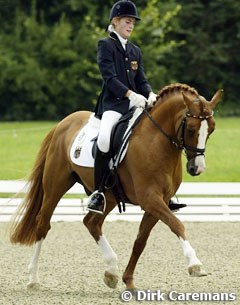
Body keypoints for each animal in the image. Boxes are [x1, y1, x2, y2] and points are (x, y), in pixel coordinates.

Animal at [10, 83, 222, 290]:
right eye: (191, 129)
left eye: (211, 129)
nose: (197, 168)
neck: (157, 141)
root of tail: (62, 123)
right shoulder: (149, 199)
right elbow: (177, 224)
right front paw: (195, 264)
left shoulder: (158, 202)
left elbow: (141, 241)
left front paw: (129, 281)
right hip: (55, 186)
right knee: (43, 225)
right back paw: (33, 280)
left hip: (109, 197)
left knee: (92, 223)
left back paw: (111, 271)